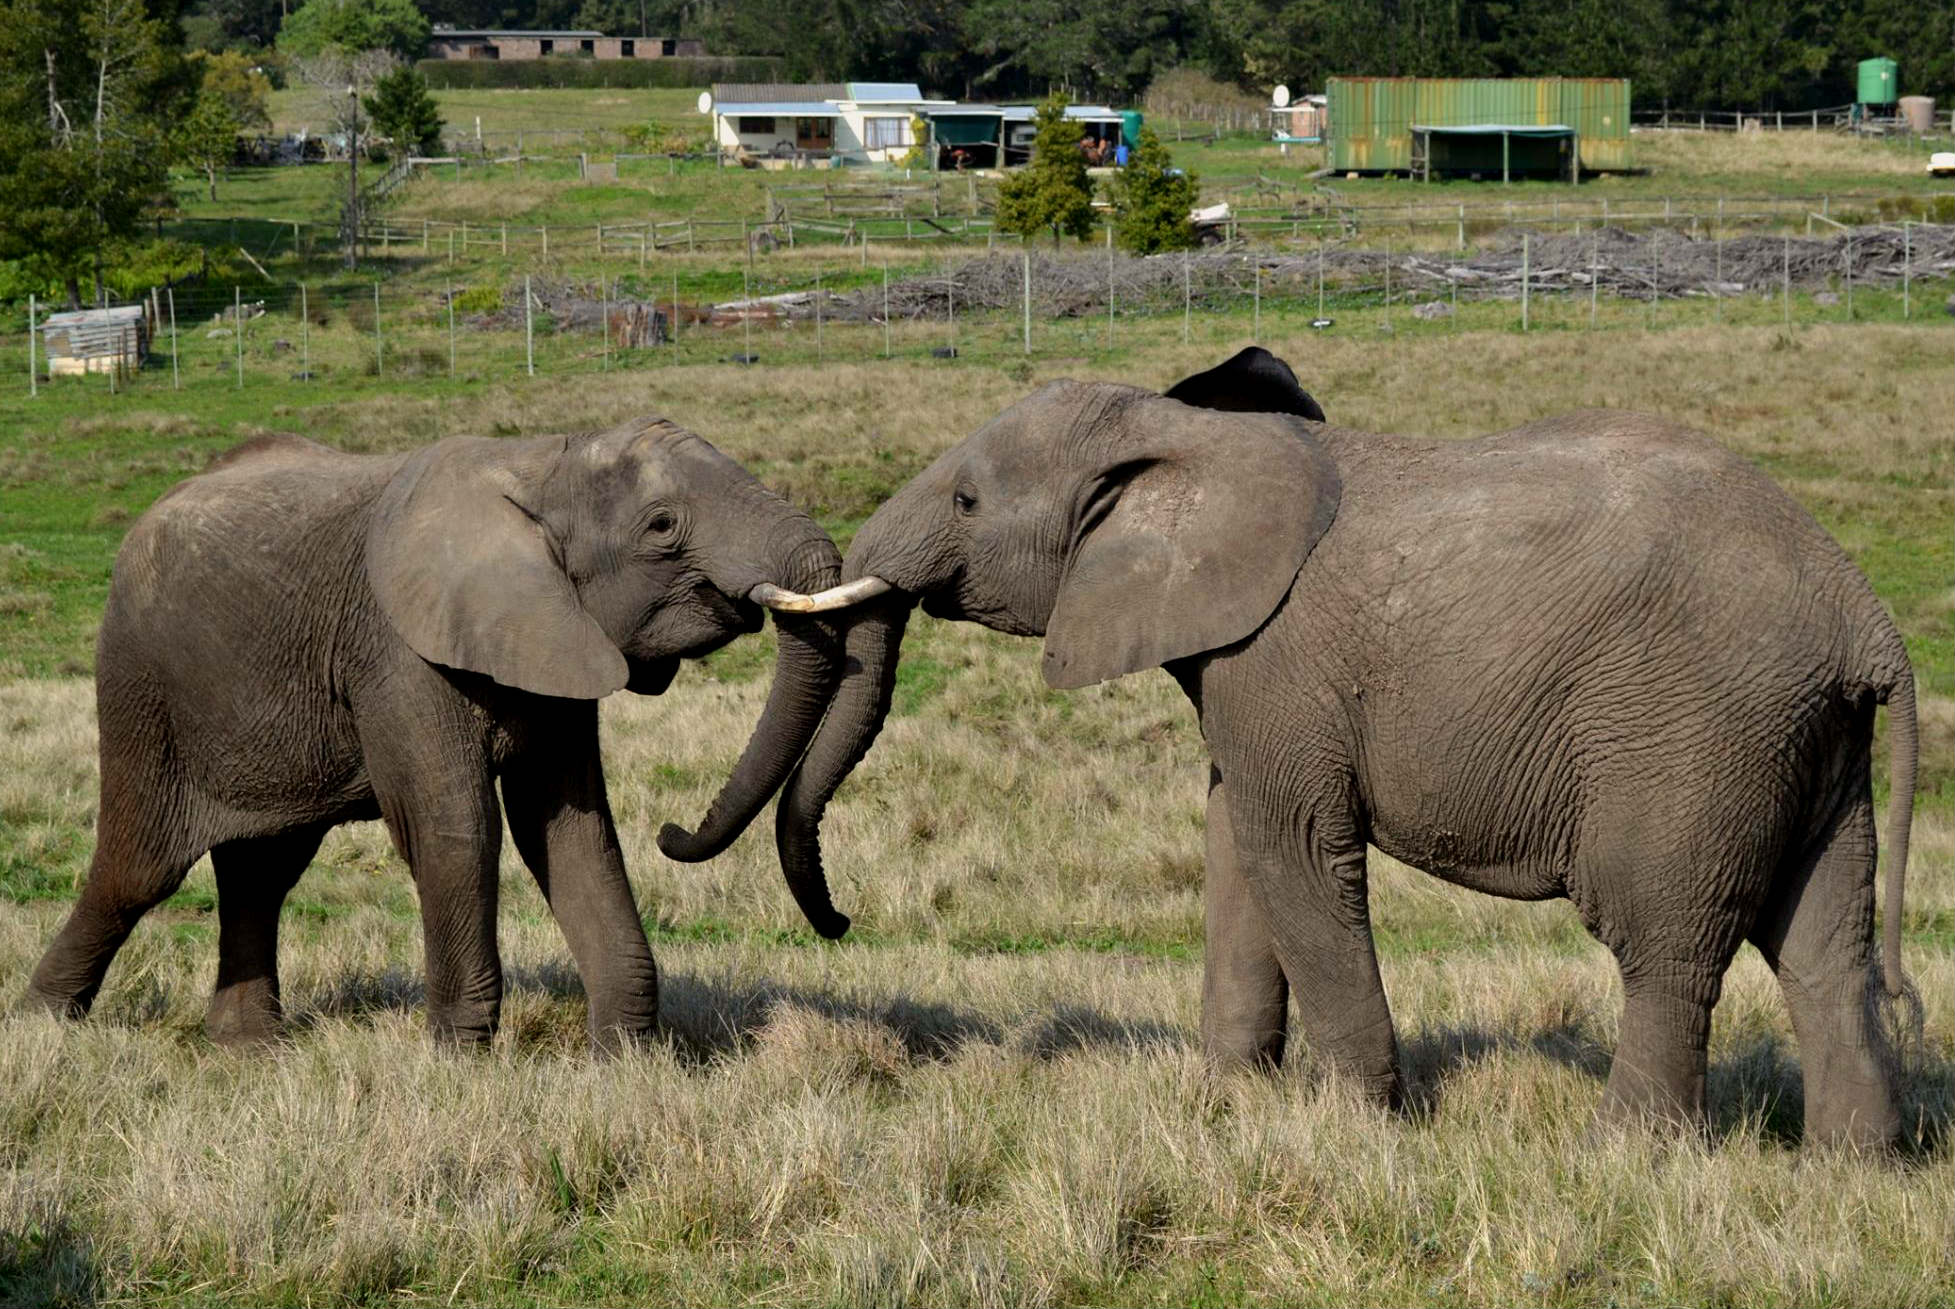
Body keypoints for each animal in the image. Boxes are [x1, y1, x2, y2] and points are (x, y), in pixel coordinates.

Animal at [22, 416, 864, 1055]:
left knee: (262, 869)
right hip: (142, 687)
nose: (673, 831)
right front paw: (459, 1060)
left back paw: (247, 1048)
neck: (542, 463)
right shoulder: (399, 650)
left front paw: (623, 1060)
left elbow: (572, 830)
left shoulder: (556, 634)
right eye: (662, 527)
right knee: (139, 869)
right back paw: (42, 1025)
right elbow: (457, 826)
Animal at [754, 347, 1915, 1148]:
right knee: (1823, 946)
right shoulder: (1239, 664)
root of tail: (1865, 619)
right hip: (1805, 737)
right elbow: (1234, 842)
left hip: (1695, 731)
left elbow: (1293, 853)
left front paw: (1356, 1127)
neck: (1185, 434)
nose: (840, 921)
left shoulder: (1277, 657)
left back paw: (1622, 1156)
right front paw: (1224, 1105)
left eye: (965, 500)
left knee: (1662, 941)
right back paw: (1847, 1170)